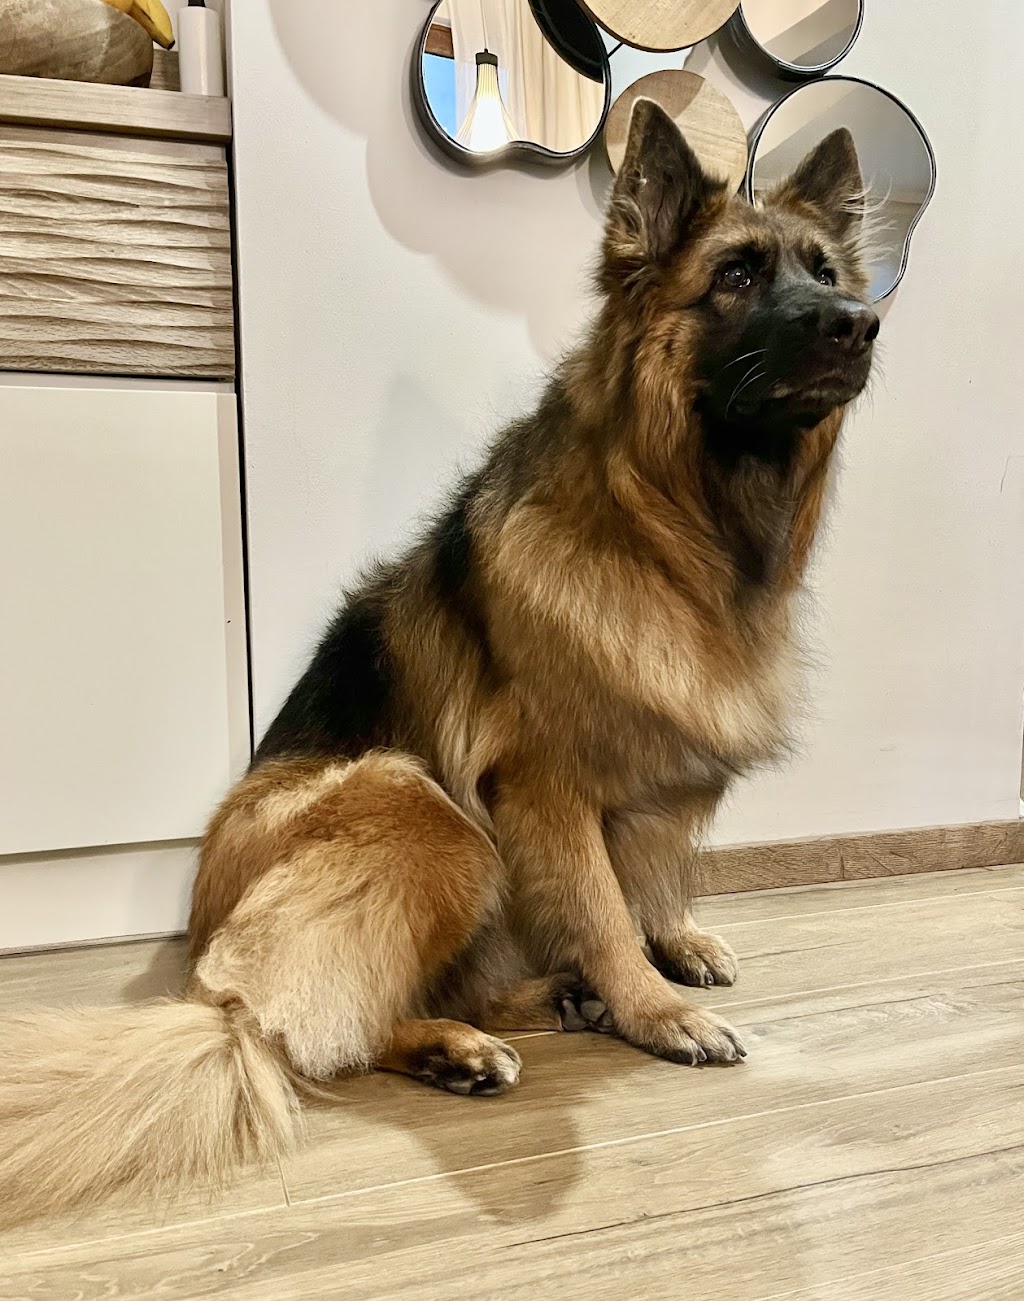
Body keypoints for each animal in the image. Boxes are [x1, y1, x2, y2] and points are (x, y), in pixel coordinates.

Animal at [0, 102, 877, 1225]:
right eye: (734, 276)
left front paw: (671, 941)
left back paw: (546, 1000)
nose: (858, 322)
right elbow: (600, 903)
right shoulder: (541, 790)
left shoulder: (661, 775)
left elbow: (647, 875)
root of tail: (203, 974)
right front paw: (650, 1006)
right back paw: (461, 1043)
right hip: (428, 813)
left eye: (827, 271)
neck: (668, 531)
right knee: (302, 1029)